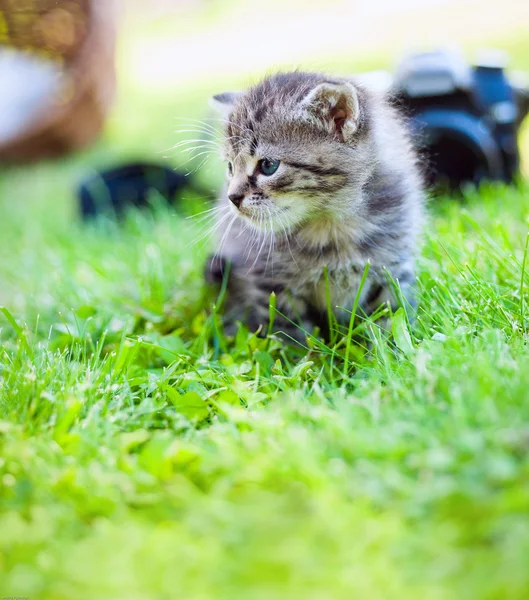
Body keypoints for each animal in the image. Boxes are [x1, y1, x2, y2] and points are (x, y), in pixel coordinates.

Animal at [204, 71, 422, 342]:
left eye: (268, 165)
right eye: (230, 167)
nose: (232, 197)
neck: (331, 226)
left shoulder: (392, 268)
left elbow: (389, 318)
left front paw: (388, 350)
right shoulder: (271, 284)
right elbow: (290, 334)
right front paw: (306, 353)